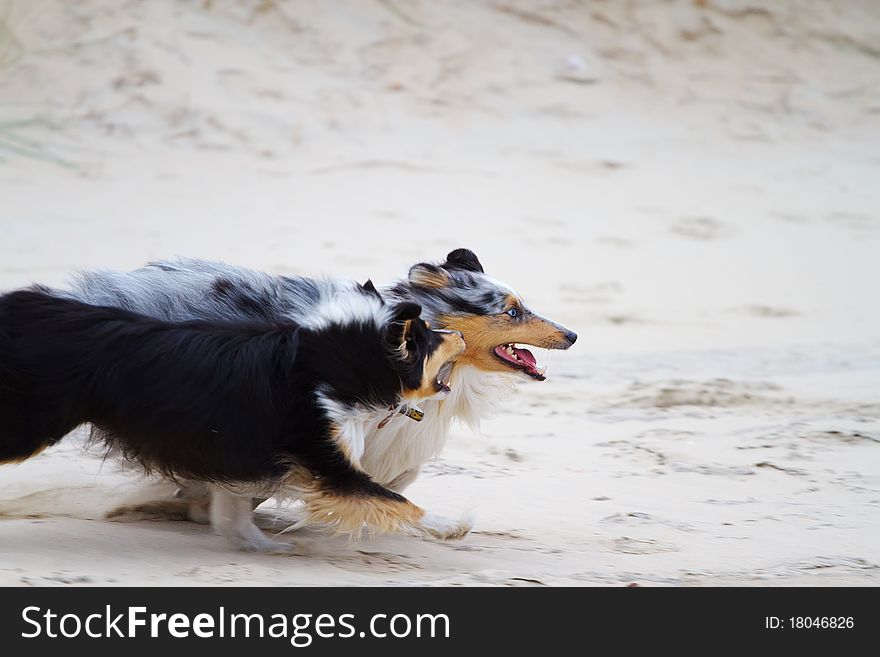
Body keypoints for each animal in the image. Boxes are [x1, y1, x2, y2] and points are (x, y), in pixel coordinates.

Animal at [0, 288, 468, 548]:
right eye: (428, 336)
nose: (460, 333)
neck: (332, 363)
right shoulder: (324, 462)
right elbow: (395, 500)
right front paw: (453, 526)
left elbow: (232, 507)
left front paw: (253, 543)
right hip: (28, 427)